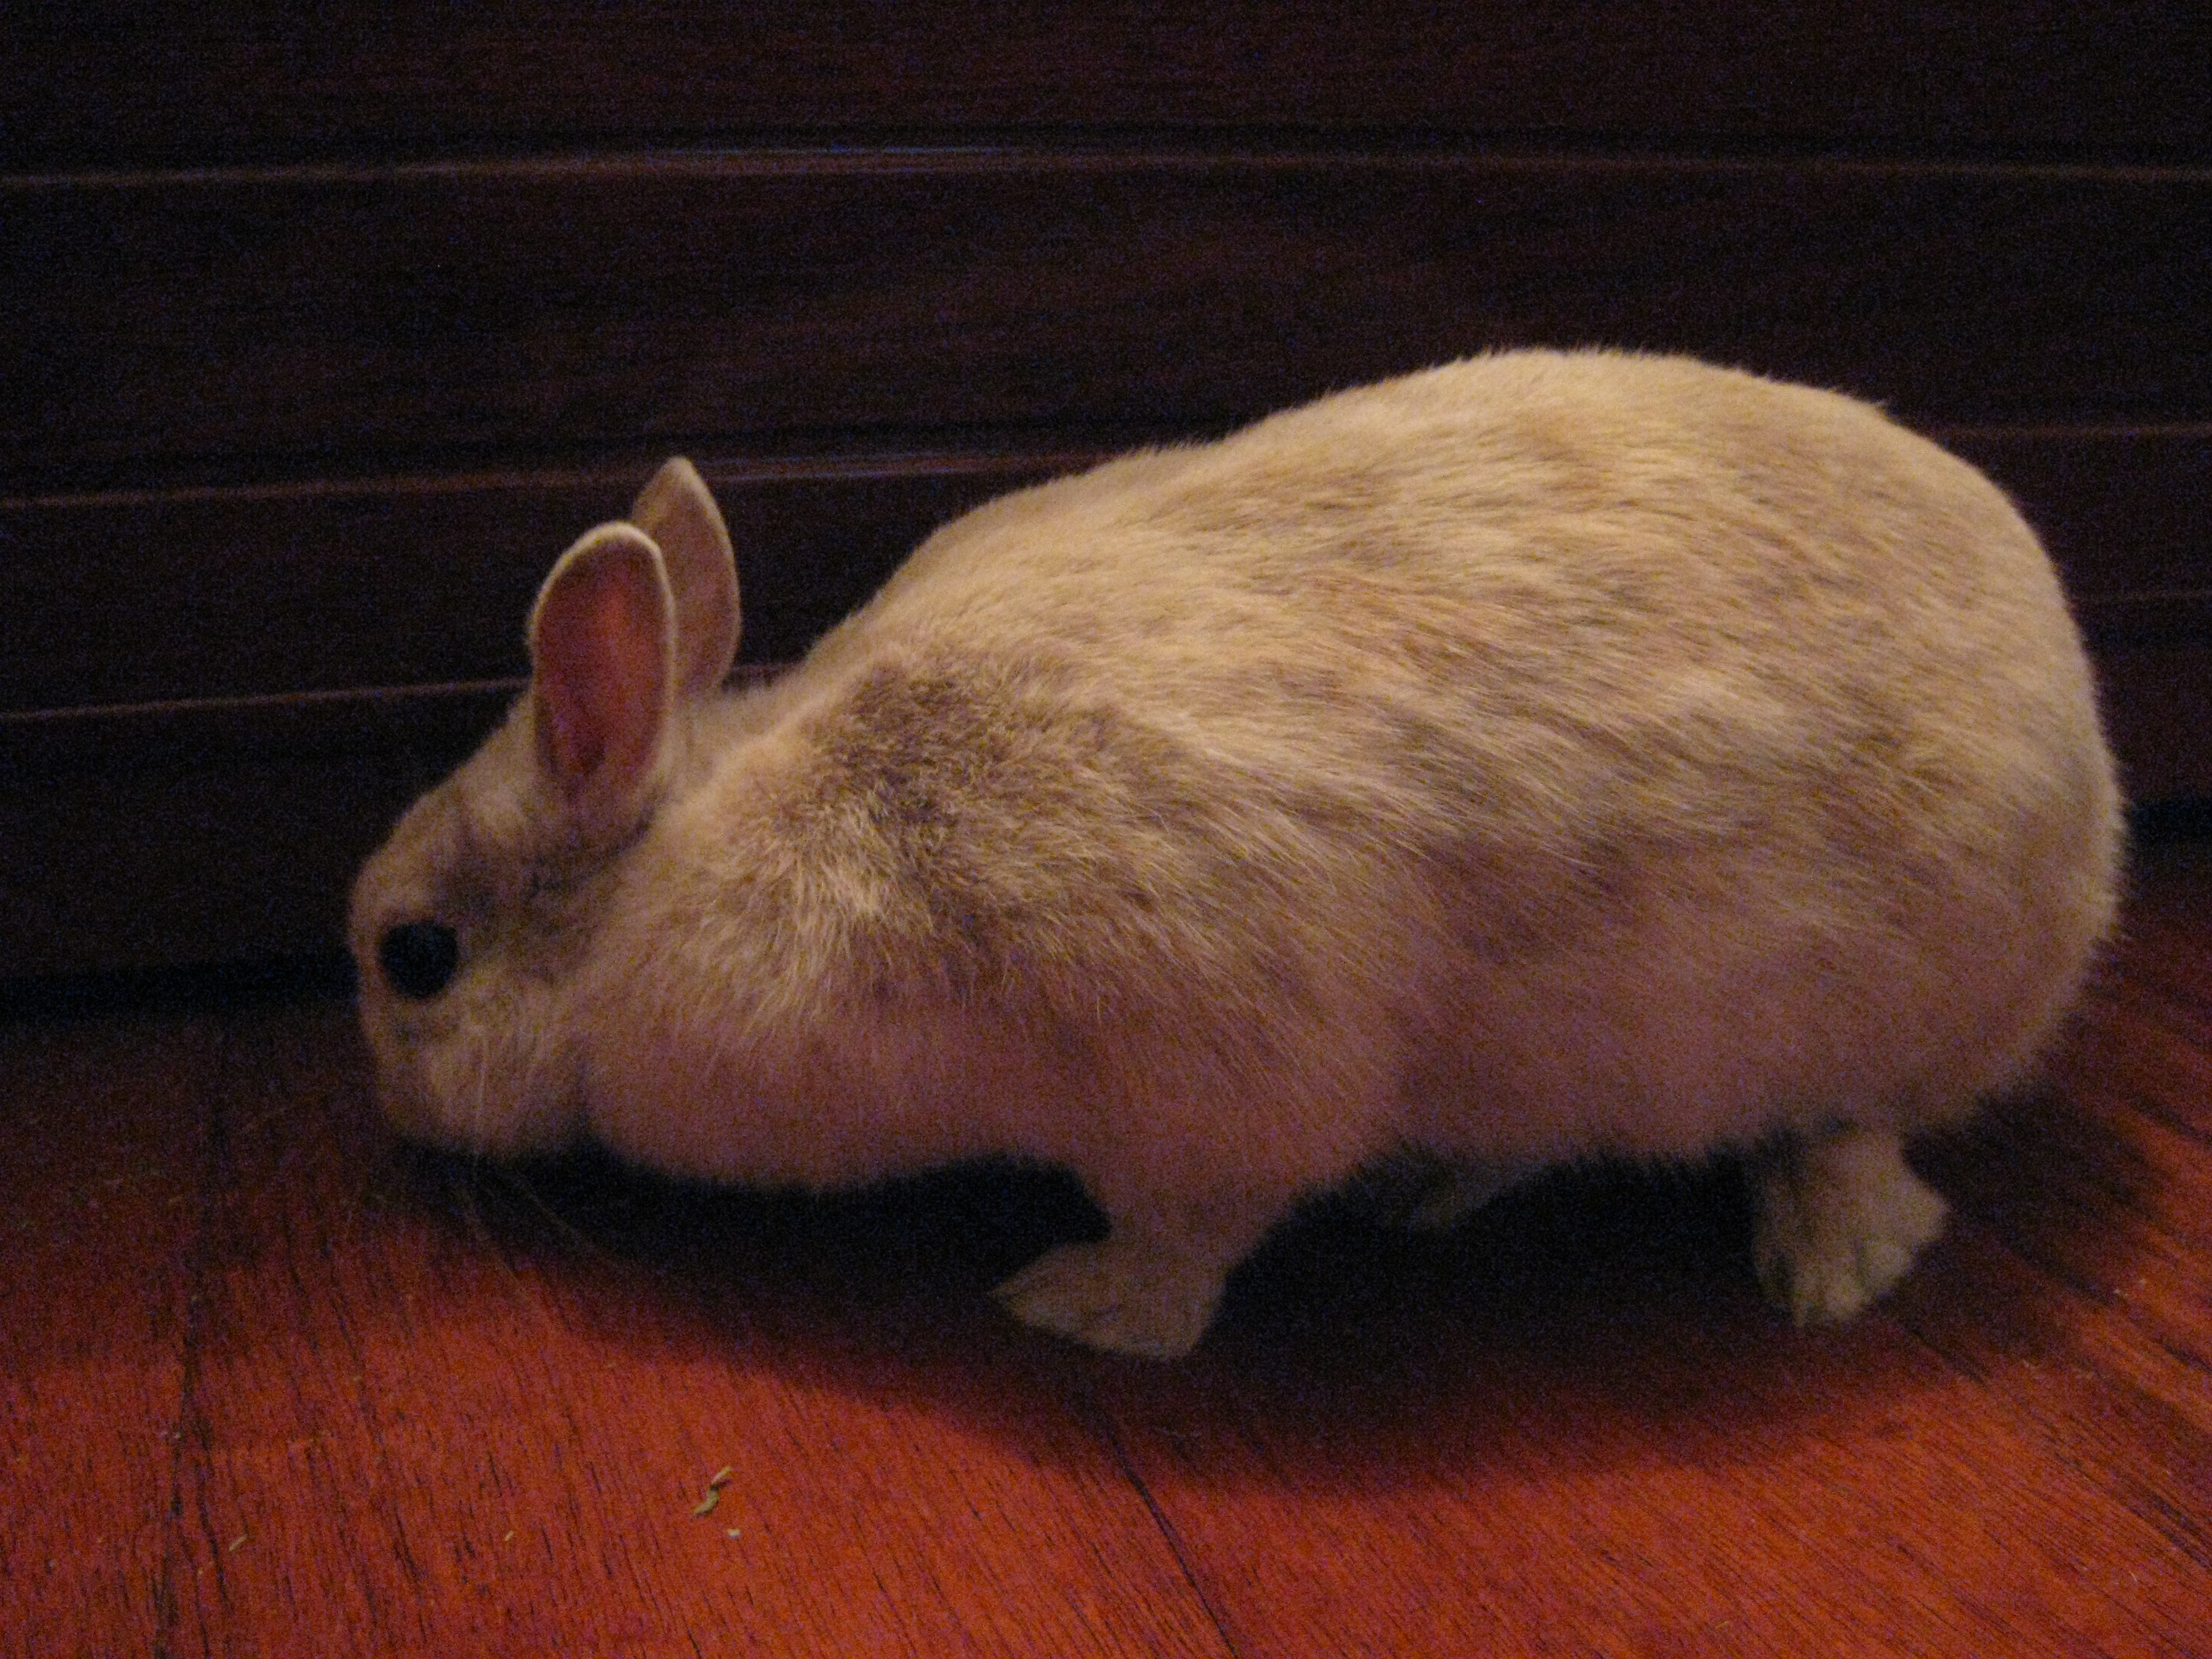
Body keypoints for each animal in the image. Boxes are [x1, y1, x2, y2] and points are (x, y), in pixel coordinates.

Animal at [349, 347, 2123, 1353]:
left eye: (412, 956)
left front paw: (1077, 1310)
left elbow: (1186, 1240)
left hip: (1897, 1007)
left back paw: (1825, 1262)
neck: (687, 854)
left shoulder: (1203, 1081)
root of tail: (2092, 747)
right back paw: (1439, 1181)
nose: (388, 1118)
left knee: (1861, 1136)